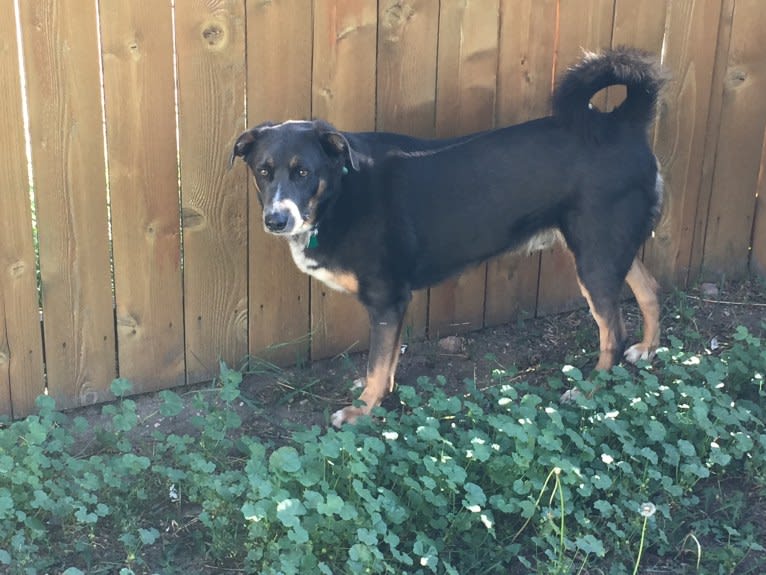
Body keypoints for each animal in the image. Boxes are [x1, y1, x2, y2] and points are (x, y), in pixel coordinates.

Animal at [230, 48, 664, 428]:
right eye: (263, 171)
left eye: (303, 172)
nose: (276, 219)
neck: (341, 190)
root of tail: (621, 123)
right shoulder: (394, 305)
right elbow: (387, 361)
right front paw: (379, 394)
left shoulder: (387, 299)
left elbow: (376, 362)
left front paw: (362, 410)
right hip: (610, 249)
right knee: (650, 289)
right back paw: (647, 349)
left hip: (595, 256)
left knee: (613, 333)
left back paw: (591, 390)